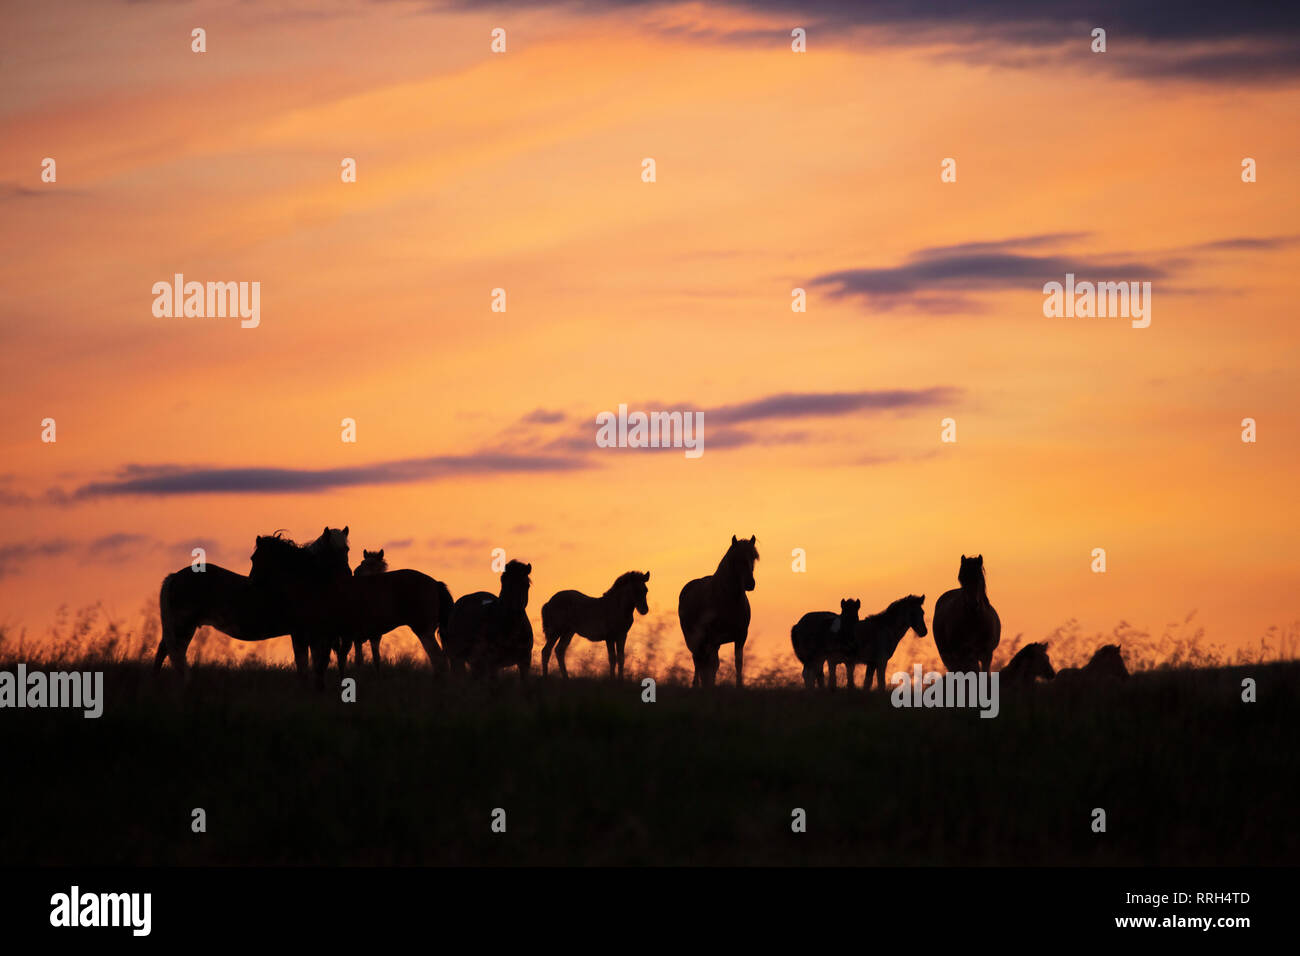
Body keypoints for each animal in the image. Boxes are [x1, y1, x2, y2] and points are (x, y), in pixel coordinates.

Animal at [154, 522, 348, 681]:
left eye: (346, 549)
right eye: (252, 558)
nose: (346, 575)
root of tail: (175, 576)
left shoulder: (316, 634)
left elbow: (317, 666)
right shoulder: (300, 634)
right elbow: (304, 667)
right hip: (182, 627)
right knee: (167, 652)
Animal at [681, 538, 759, 686]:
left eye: (753, 557)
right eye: (736, 558)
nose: (750, 584)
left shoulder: (741, 637)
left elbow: (738, 663)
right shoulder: (712, 638)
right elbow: (711, 666)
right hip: (695, 640)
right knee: (698, 661)